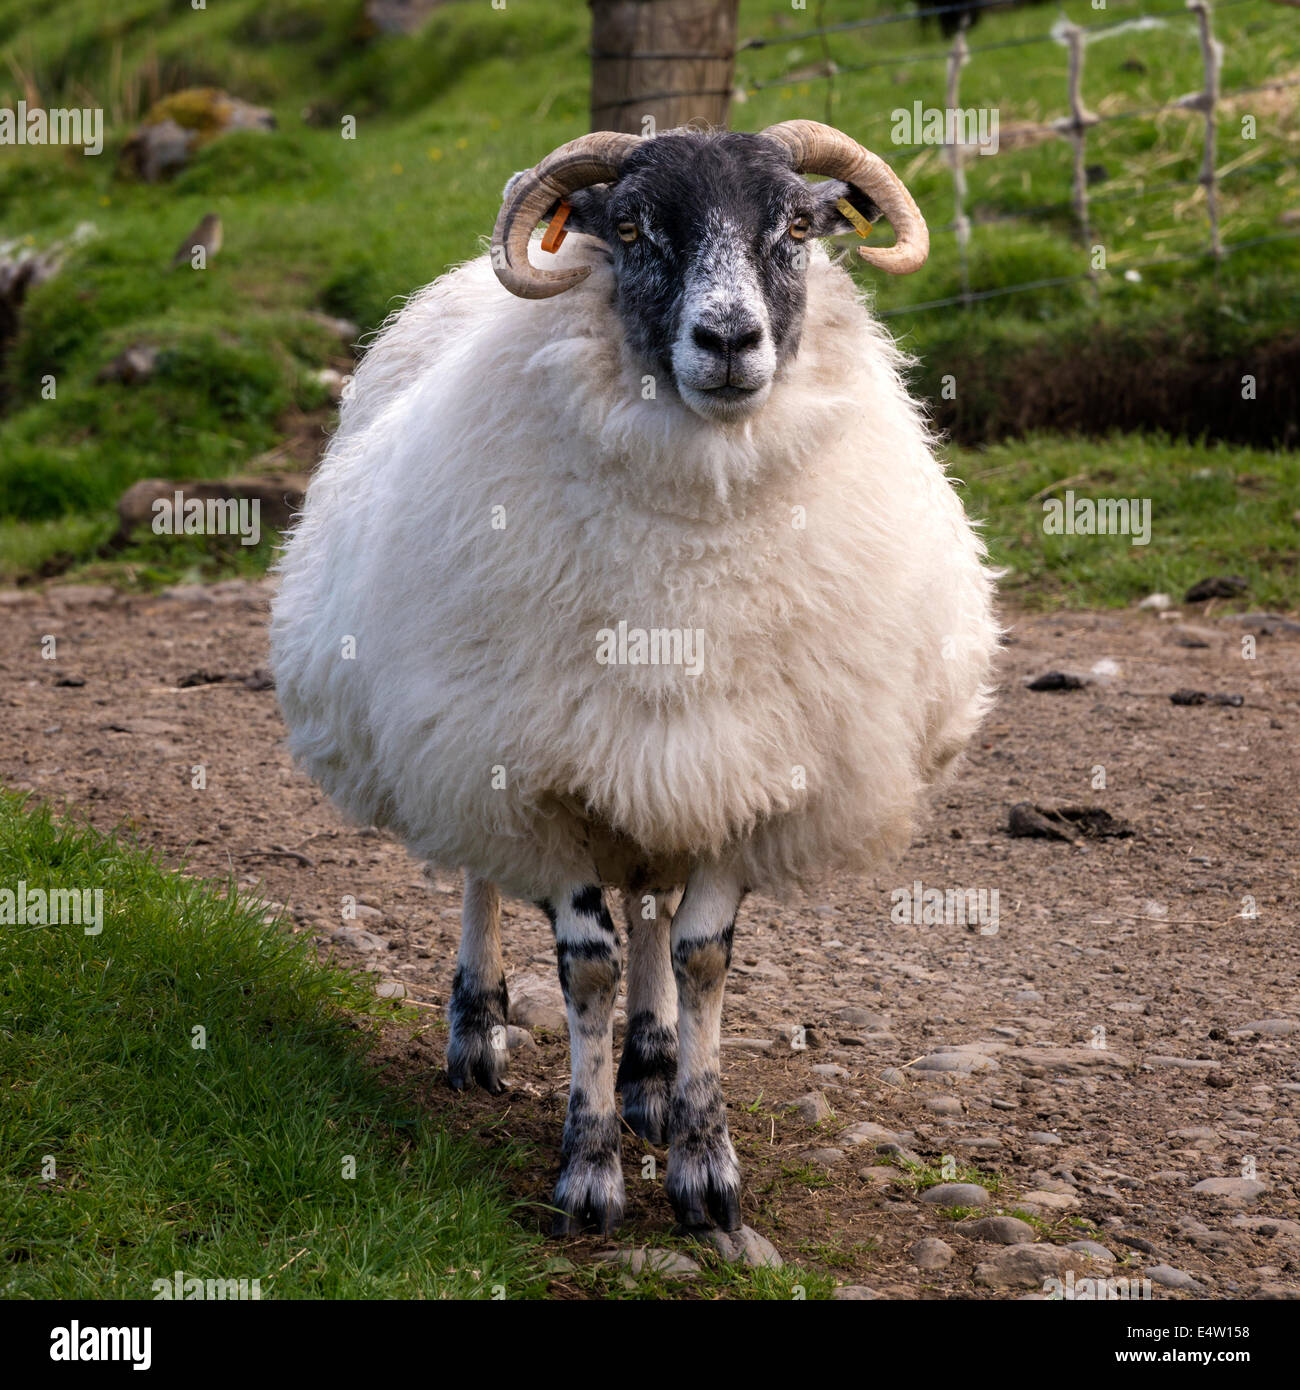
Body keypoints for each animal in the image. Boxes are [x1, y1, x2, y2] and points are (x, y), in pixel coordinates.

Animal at [269, 121, 999, 1237]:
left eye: (798, 227)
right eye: (629, 229)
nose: (731, 340)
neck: (691, 546)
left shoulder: (748, 769)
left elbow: (698, 955)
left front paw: (704, 1166)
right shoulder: (533, 777)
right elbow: (588, 965)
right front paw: (589, 1169)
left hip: (659, 758)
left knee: (654, 901)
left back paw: (651, 1073)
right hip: (464, 739)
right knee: (484, 875)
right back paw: (477, 1031)